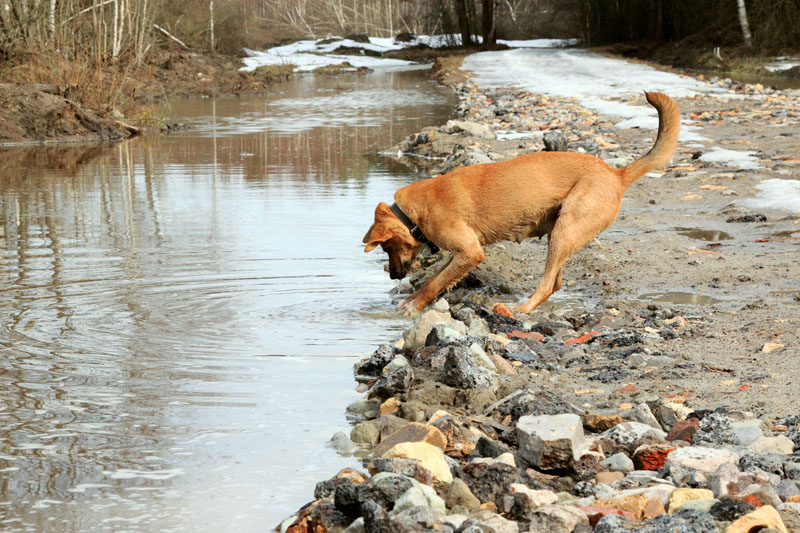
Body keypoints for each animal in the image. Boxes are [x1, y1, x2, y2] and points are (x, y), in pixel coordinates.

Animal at [366, 91, 680, 314]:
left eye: (386, 247)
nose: (393, 277)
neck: (414, 212)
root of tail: (616, 174)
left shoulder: (470, 252)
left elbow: (435, 284)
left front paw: (414, 308)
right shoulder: (461, 255)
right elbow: (434, 279)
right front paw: (410, 300)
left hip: (565, 230)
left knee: (547, 284)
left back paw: (521, 309)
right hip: (561, 233)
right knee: (555, 283)